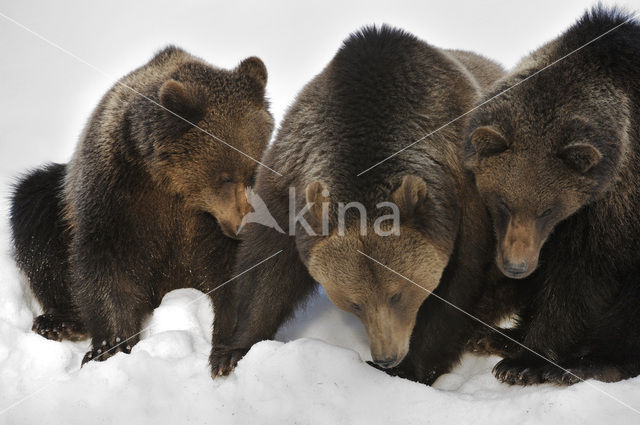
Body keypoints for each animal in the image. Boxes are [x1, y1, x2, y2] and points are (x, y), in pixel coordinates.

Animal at [9, 47, 276, 364]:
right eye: (225, 176)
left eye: (255, 171)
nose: (244, 224)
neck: (174, 185)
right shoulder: (118, 193)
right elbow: (107, 263)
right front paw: (110, 346)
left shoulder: (208, 224)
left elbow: (240, 273)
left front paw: (227, 351)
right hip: (57, 200)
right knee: (33, 214)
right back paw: (58, 322)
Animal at [210, 26, 510, 384]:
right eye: (354, 303)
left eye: (398, 293)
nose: (386, 356)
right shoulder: (289, 180)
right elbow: (266, 268)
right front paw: (231, 352)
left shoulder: (462, 195)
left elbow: (456, 284)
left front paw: (411, 367)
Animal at [462, 6, 640, 384]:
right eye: (501, 201)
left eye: (547, 209)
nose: (517, 266)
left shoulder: (614, 211)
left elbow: (578, 280)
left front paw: (526, 364)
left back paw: (595, 363)